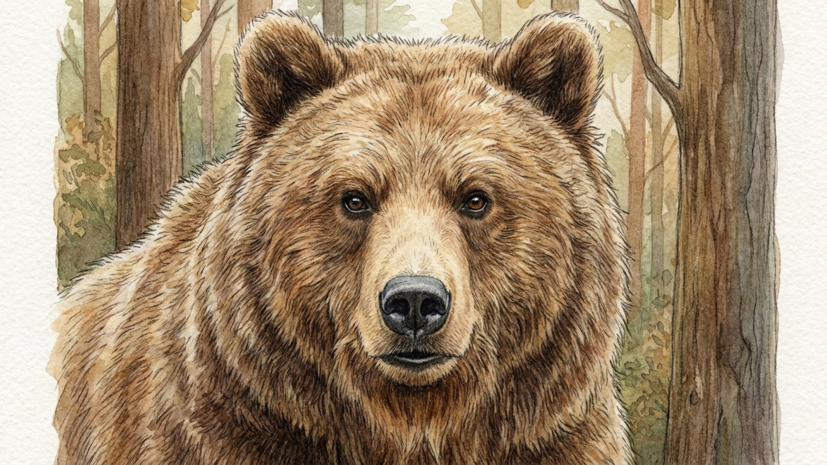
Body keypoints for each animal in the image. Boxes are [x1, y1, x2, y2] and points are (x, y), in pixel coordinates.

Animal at [50, 11, 631, 465]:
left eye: (475, 198)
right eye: (355, 198)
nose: (415, 301)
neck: (412, 423)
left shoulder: (551, 437)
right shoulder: (225, 427)